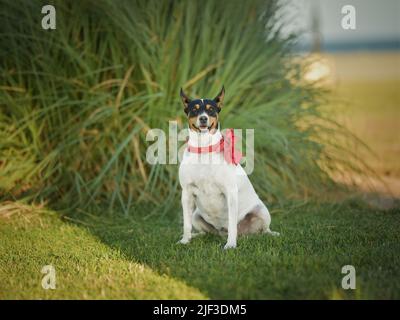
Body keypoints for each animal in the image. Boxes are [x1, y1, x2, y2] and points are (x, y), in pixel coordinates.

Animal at [178, 86, 278, 249]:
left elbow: (232, 224)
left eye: (211, 109)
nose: (203, 118)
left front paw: (230, 245)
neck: (204, 148)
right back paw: (197, 235)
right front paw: (185, 240)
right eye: (194, 110)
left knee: (261, 230)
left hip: (262, 211)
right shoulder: (186, 193)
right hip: (196, 216)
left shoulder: (230, 193)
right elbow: (186, 224)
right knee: (207, 231)